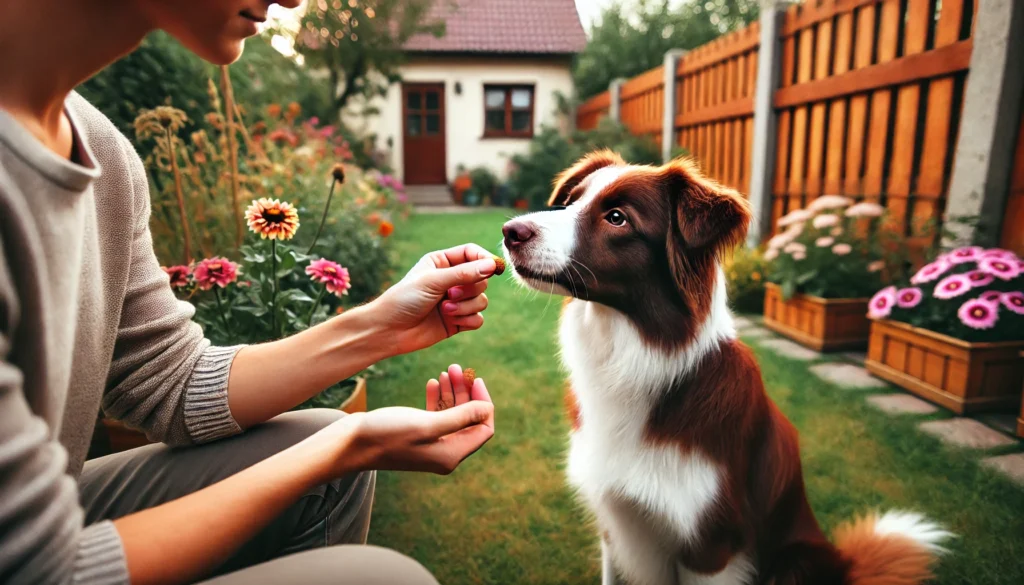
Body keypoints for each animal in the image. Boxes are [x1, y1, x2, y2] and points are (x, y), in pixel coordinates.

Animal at [499, 150, 946, 585]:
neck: (635, 359)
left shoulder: (710, 546)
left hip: (795, 562)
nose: (510, 231)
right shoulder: (614, 526)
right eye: (571, 202)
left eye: (617, 218)